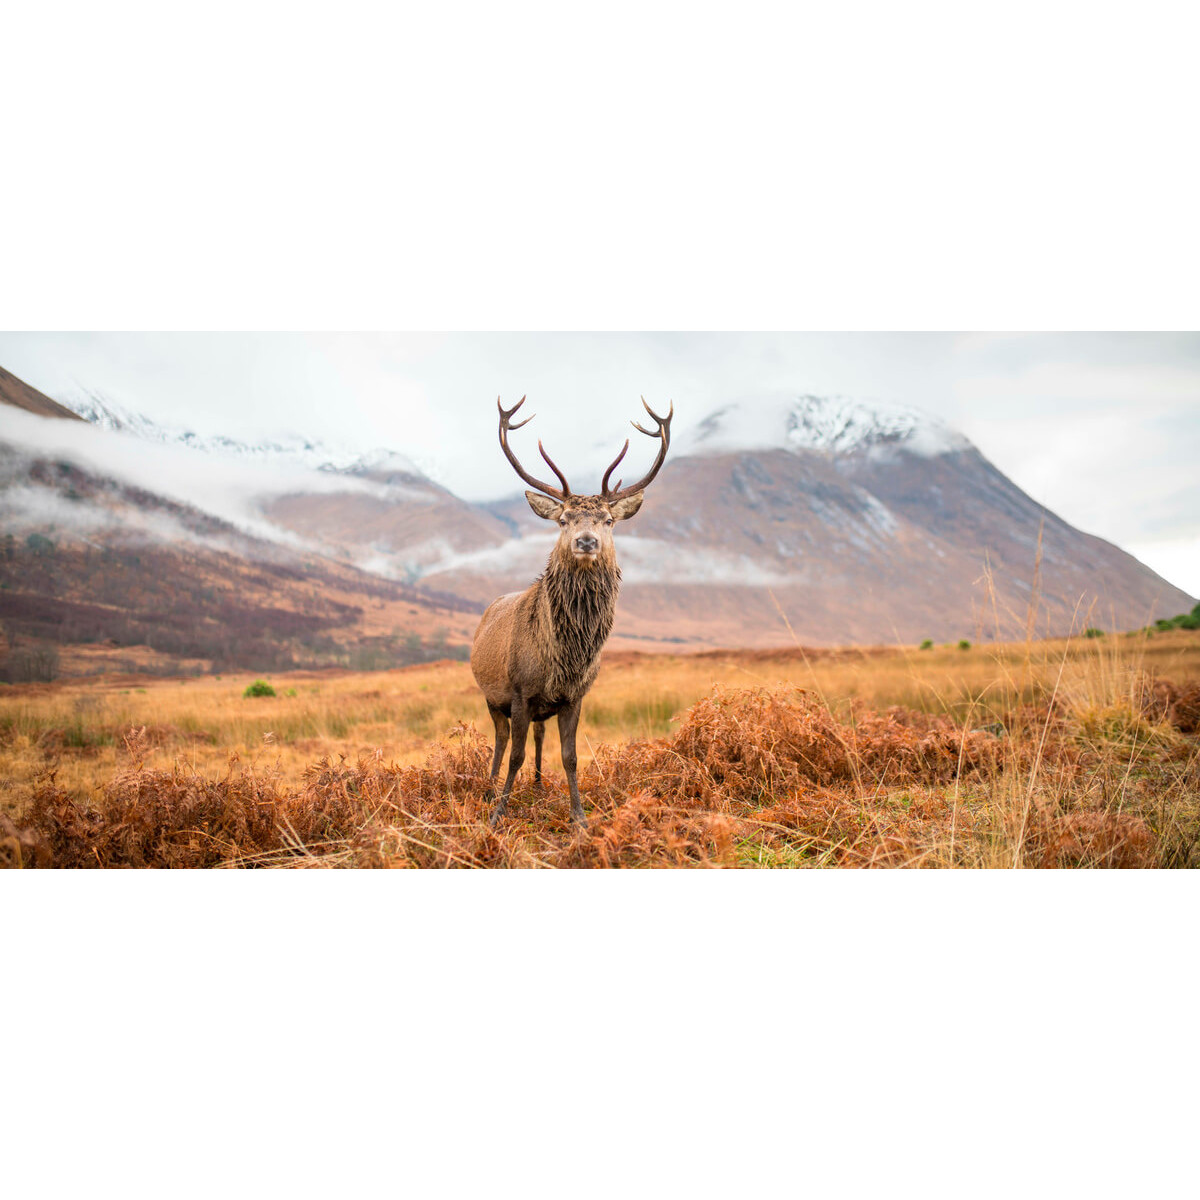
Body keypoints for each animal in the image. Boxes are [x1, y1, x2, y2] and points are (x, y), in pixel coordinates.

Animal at [470, 395, 674, 829]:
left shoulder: (575, 695)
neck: (565, 657)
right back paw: (490, 788)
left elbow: (570, 756)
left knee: (539, 737)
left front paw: (579, 817)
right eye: (563, 519)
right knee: (500, 741)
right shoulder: (519, 691)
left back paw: (537, 786)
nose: (586, 540)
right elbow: (514, 754)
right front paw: (498, 814)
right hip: (491, 695)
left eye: (609, 520)